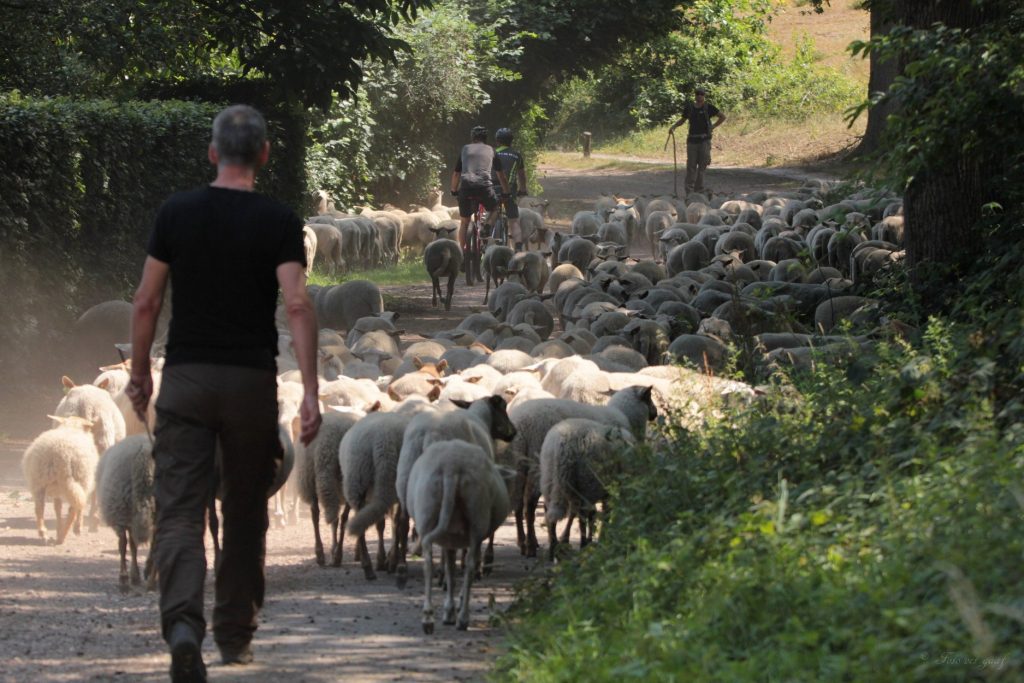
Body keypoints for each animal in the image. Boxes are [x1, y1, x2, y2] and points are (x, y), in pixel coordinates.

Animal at [405, 440, 512, 634]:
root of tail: (451, 466)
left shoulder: (449, 539)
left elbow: (450, 571)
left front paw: (449, 612)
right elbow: (461, 568)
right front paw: (455, 608)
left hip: (426, 508)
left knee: (428, 563)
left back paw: (428, 618)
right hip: (477, 515)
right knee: (470, 566)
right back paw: (463, 618)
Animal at [540, 417, 634, 561]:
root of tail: (562, 447)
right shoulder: (607, 488)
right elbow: (605, 513)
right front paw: (602, 539)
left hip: (550, 479)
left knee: (552, 514)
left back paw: (553, 549)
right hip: (587, 480)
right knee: (582, 514)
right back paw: (583, 545)